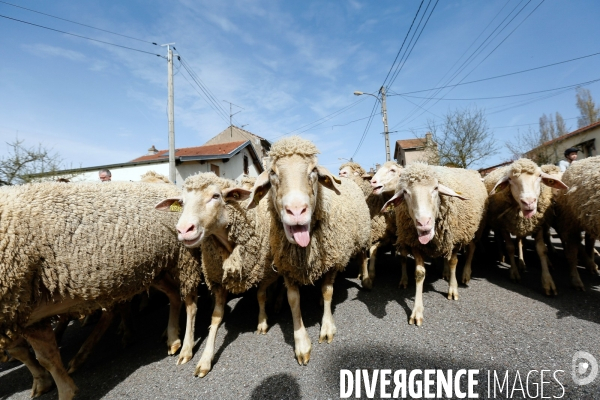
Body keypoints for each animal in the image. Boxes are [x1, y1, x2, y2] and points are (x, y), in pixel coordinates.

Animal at [0, 182, 203, 400]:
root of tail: (168, 188)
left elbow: (38, 355)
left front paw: (62, 390)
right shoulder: (26, 313)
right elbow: (44, 357)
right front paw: (48, 384)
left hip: (182, 255)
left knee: (189, 301)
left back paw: (183, 346)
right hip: (152, 269)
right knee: (173, 295)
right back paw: (171, 337)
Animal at [155, 173, 276, 378]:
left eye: (216, 196)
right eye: (182, 202)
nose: (183, 230)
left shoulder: (263, 271)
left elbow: (260, 296)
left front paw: (262, 322)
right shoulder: (217, 281)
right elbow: (216, 317)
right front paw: (205, 359)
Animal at [247, 136, 370, 364]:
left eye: (313, 171)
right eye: (273, 173)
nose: (296, 211)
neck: (303, 250)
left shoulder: (331, 261)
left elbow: (328, 291)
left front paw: (327, 328)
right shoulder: (287, 267)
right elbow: (294, 300)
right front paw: (302, 344)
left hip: (362, 235)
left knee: (363, 256)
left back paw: (366, 279)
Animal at [382, 162, 490, 324]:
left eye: (435, 188)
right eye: (406, 192)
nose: (423, 223)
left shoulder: (454, 239)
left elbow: (453, 262)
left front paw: (453, 289)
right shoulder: (415, 244)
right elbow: (419, 273)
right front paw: (417, 311)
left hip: (474, 229)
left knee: (471, 249)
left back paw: (465, 274)